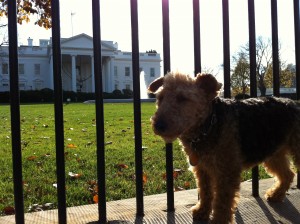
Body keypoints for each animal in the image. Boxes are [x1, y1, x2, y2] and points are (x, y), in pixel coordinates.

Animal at [148, 72, 300, 224]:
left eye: (182, 98)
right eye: (160, 98)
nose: (158, 125)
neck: (208, 126)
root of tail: (295, 103)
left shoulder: (227, 171)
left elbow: (222, 200)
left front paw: (218, 220)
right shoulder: (202, 169)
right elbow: (205, 192)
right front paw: (202, 211)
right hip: (273, 153)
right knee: (288, 174)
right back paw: (276, 194)